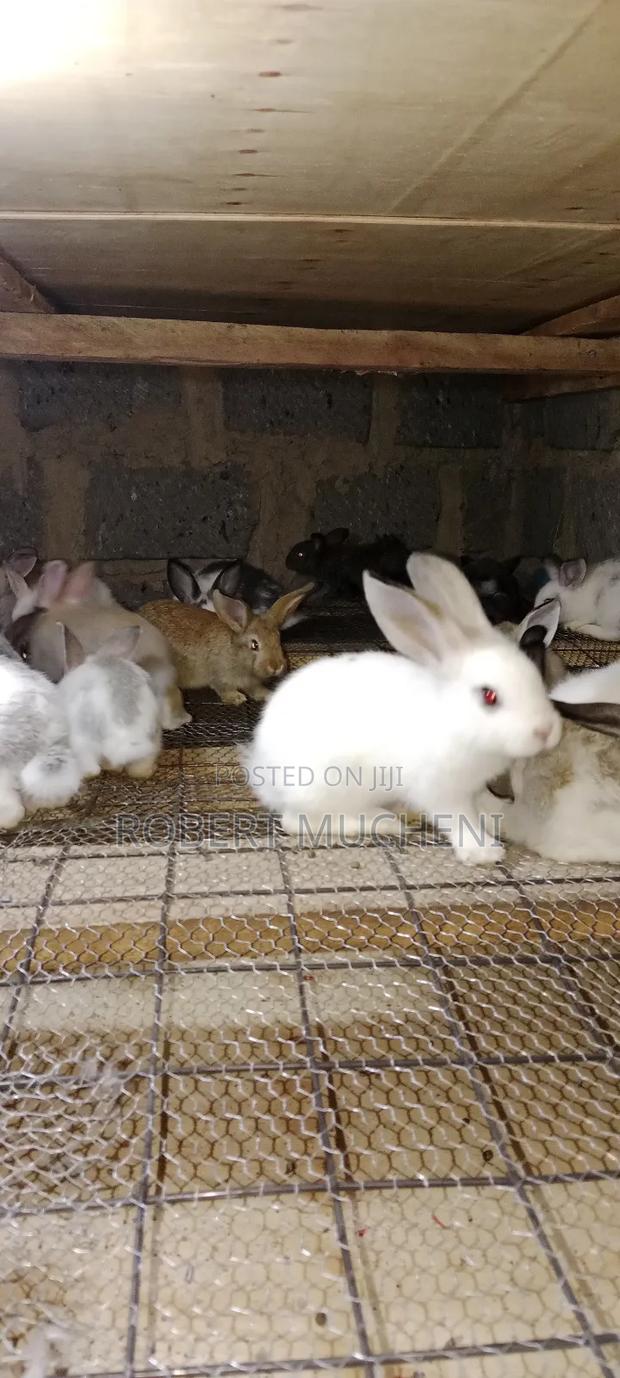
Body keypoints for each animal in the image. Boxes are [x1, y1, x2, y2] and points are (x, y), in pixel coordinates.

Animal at [139, 582, 314, 706]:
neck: (235, 652)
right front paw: (237, 698)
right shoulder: (219, 676)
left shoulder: (251, 681)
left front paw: (268, 695)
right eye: (254, 645)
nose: (276, 666)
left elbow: (256, 689)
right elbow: (223, 688)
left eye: (278, 639)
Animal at [244, 553, 561, 863]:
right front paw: (484, 852)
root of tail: (262, 767)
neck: (454, 718)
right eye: (489, 696)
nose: (547, 732)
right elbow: (460, 819)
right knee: (297, 821)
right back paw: (384, 822)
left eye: (537, 678)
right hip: (332, 786)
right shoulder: (440, 790)